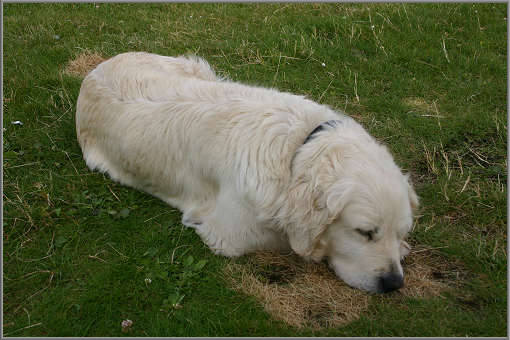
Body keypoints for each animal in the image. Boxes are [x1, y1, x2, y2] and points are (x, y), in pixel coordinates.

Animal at [76, 51, 418, 294]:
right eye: (364, 232)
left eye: (401, 230)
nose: (393, 283)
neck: (297, 150)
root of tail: (93, 70)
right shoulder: (230, 234)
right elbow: (289, 241)